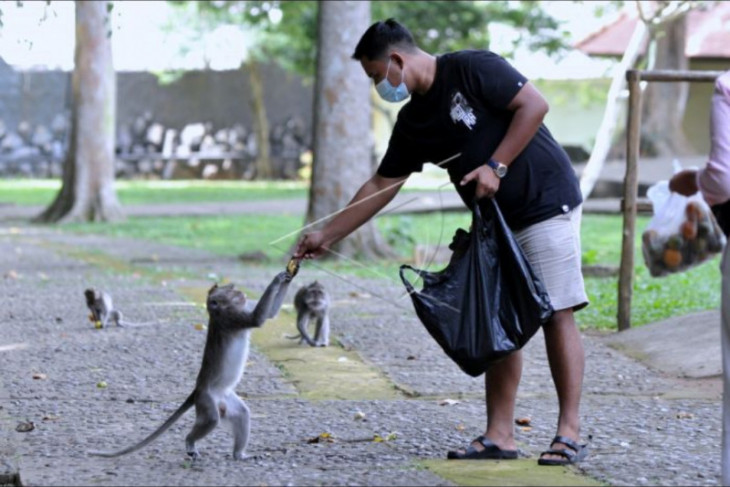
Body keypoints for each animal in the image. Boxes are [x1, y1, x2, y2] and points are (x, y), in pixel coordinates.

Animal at [86, 272, 288, 464]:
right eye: (232, 292)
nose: (242, 293)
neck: (218, 312)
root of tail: (197, 390)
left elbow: (269, 315)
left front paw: (289, 275)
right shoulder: (231, 318)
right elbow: (258, 319)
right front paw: (278, 279)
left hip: (225, 400)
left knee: (242, 414)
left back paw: (239, 455)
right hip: (206, 400)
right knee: (212, 419)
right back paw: (190, 442)